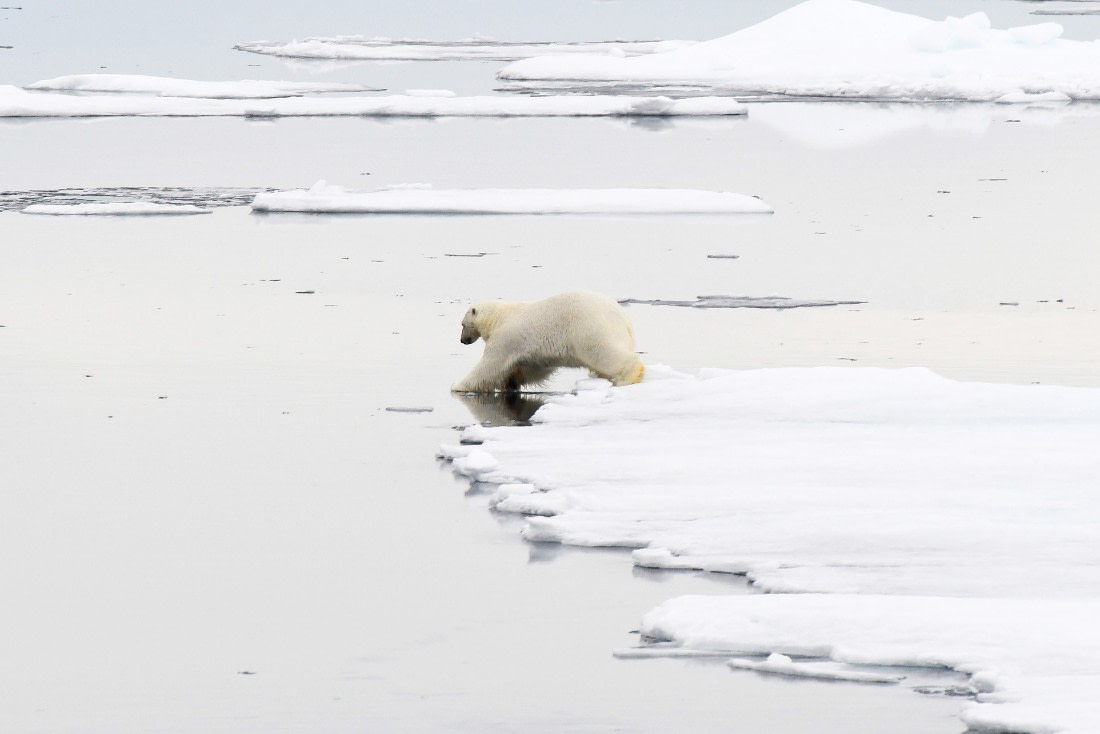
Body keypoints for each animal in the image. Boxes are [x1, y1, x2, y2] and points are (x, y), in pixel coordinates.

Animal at [451, 291, 645, 393]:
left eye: (462, 324)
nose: (462, 340)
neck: (499, 317)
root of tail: (623, 318)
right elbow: (532, 367)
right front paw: (511, 381)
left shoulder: (506, 338)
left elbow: (490, 365)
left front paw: (457, 385)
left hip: (590, 328)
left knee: (603, 352)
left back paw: (627, 377)